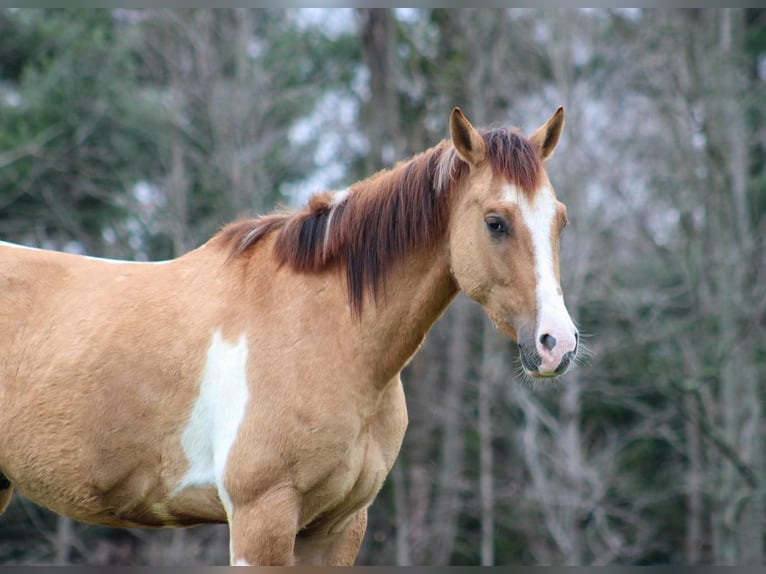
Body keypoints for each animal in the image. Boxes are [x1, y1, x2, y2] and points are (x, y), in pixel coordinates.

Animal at [0, 108, 576, 568]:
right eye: (496, 222)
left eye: (560, 221)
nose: (557, 344)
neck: (327, 335)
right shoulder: (262, 517)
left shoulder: (338, 527)